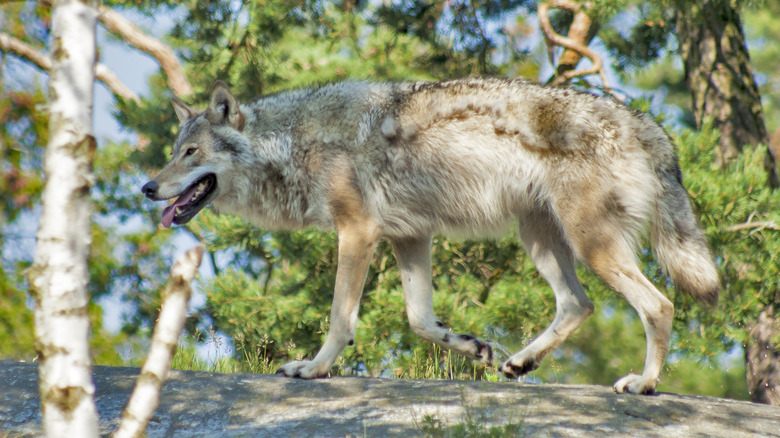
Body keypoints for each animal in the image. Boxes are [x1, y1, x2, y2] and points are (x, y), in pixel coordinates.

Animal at [142, 77, 720, 396]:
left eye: (191, 154)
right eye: (173, 152)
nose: (148, 187)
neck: (294, 141)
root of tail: (647, 124)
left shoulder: (358, 232)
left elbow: (340, 320)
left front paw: (314, 368)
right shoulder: (410, 237)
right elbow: (421, 320)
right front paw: (472, 346)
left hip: (590, 246)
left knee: (660, 305)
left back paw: (644, 384)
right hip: (541, 239)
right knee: (578, 305)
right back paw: (519, 362)